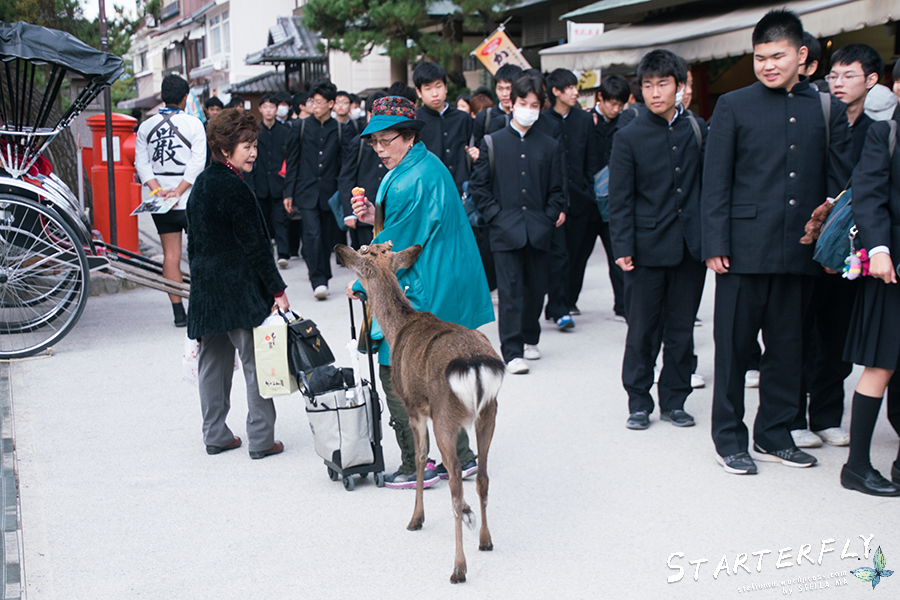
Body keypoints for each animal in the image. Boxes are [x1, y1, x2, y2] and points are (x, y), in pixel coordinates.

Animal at [336, 241, 506, 584]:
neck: (398, 329)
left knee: (455, 482)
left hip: (445, 415)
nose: (353, 290)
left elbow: (418, 458)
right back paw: (485, 539)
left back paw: (458, 567)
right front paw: (468, 517)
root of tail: (474, 363)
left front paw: (416, 518)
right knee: (482, 475)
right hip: (489, 412)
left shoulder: (413, 406)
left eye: (363, 252)